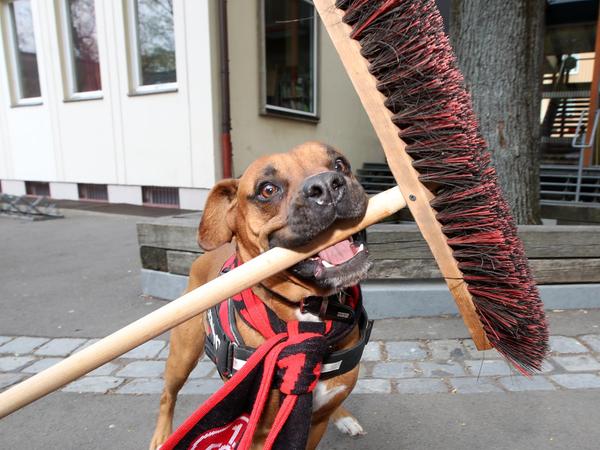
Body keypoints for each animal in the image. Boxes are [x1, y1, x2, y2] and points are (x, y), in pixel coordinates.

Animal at [150, 142, 370, 448]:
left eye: (339, 164)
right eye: (267, 190)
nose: (328, 185)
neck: (307, 314)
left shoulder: (316, 422)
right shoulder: (258, 432)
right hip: (182, 356)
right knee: (166, 395)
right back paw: (161, 436)